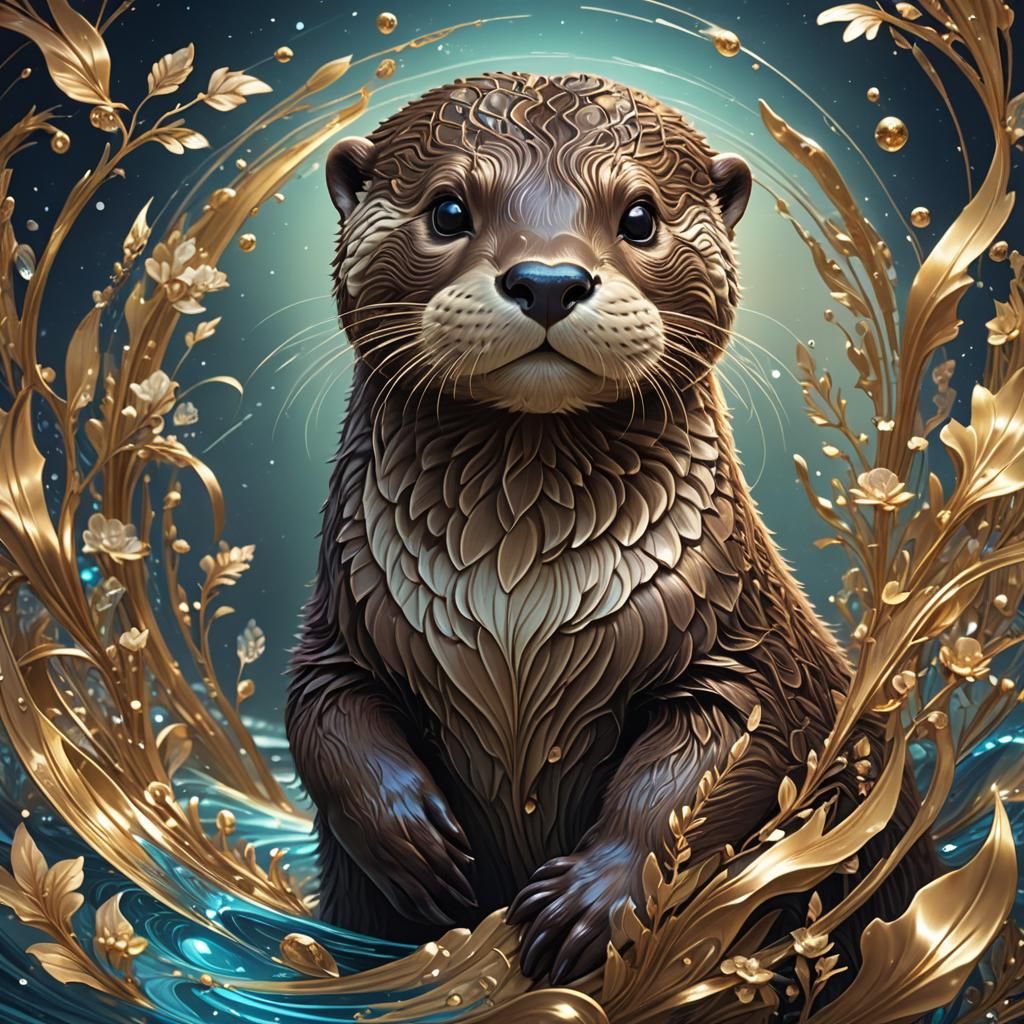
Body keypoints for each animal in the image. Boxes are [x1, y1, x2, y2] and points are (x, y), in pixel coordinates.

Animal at [286, 72, 933, 991]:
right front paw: (412, 840)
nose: (549, 278)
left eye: (639, 216)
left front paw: (588, 903)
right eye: (447, 209)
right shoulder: (342, 626)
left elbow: (714, 760)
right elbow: (324, 715)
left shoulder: (744, 642)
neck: (516, 604)